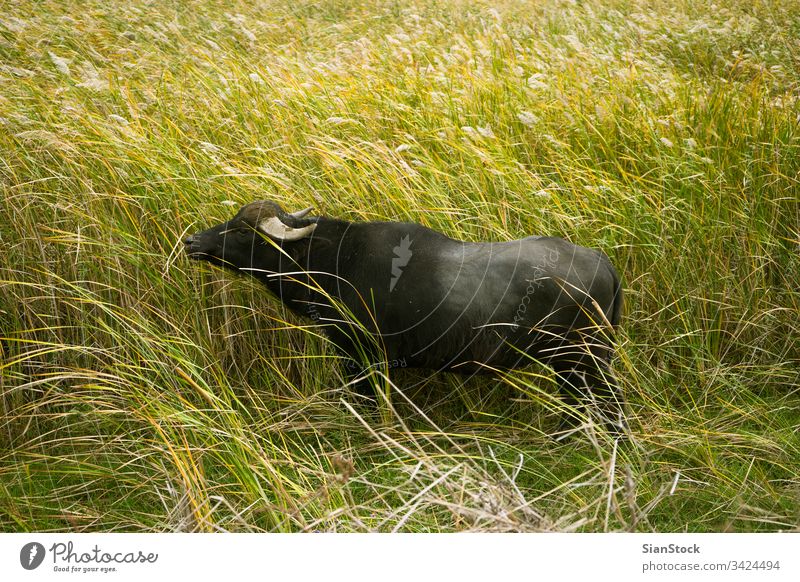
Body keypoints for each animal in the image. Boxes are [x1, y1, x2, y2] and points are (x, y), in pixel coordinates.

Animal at [184, 201, 628, 434]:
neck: (338, 262)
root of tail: (601, 262)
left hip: (583, 359)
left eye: (243, 231)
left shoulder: (364, 358)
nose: (192, 241)